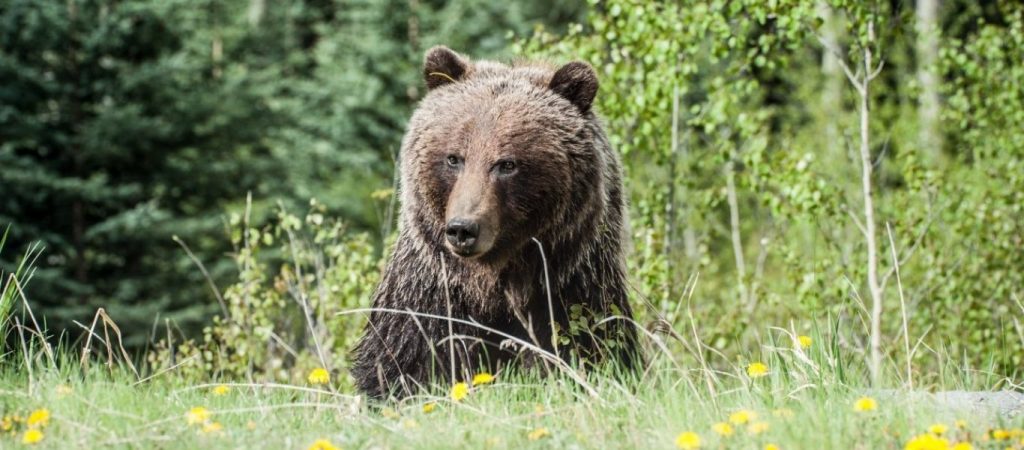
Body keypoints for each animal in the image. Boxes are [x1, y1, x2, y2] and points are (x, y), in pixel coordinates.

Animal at [352, 45, 638, 397]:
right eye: (453, 158)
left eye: (506, 164)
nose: (463, 229)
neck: (493, 283)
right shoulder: (429, 295)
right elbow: (402, 362)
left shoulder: (571, 288)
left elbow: (590, 348)